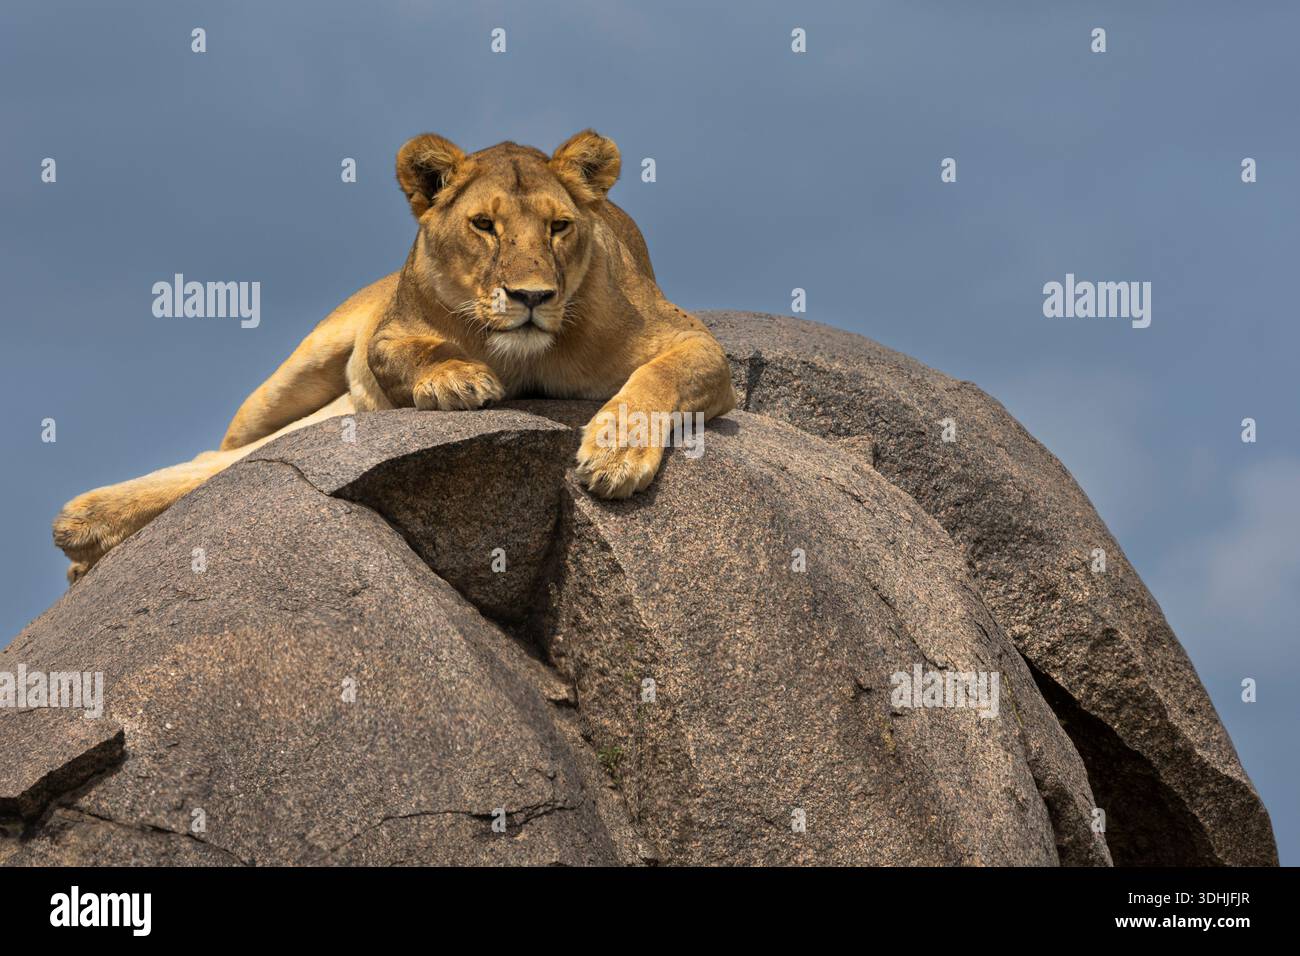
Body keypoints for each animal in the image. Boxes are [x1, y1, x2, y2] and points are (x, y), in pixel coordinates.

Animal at [52, 130, 737, 583]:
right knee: (224, 455)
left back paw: (83, 535)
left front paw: (616, 454)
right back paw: (83, 532)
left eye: (559, 226)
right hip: (291, 377)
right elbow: (407, 356)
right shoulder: (387, 332)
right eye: (484, 225)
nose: (531, 296)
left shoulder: (691, 340)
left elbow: (659, 377)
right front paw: (456, 380)